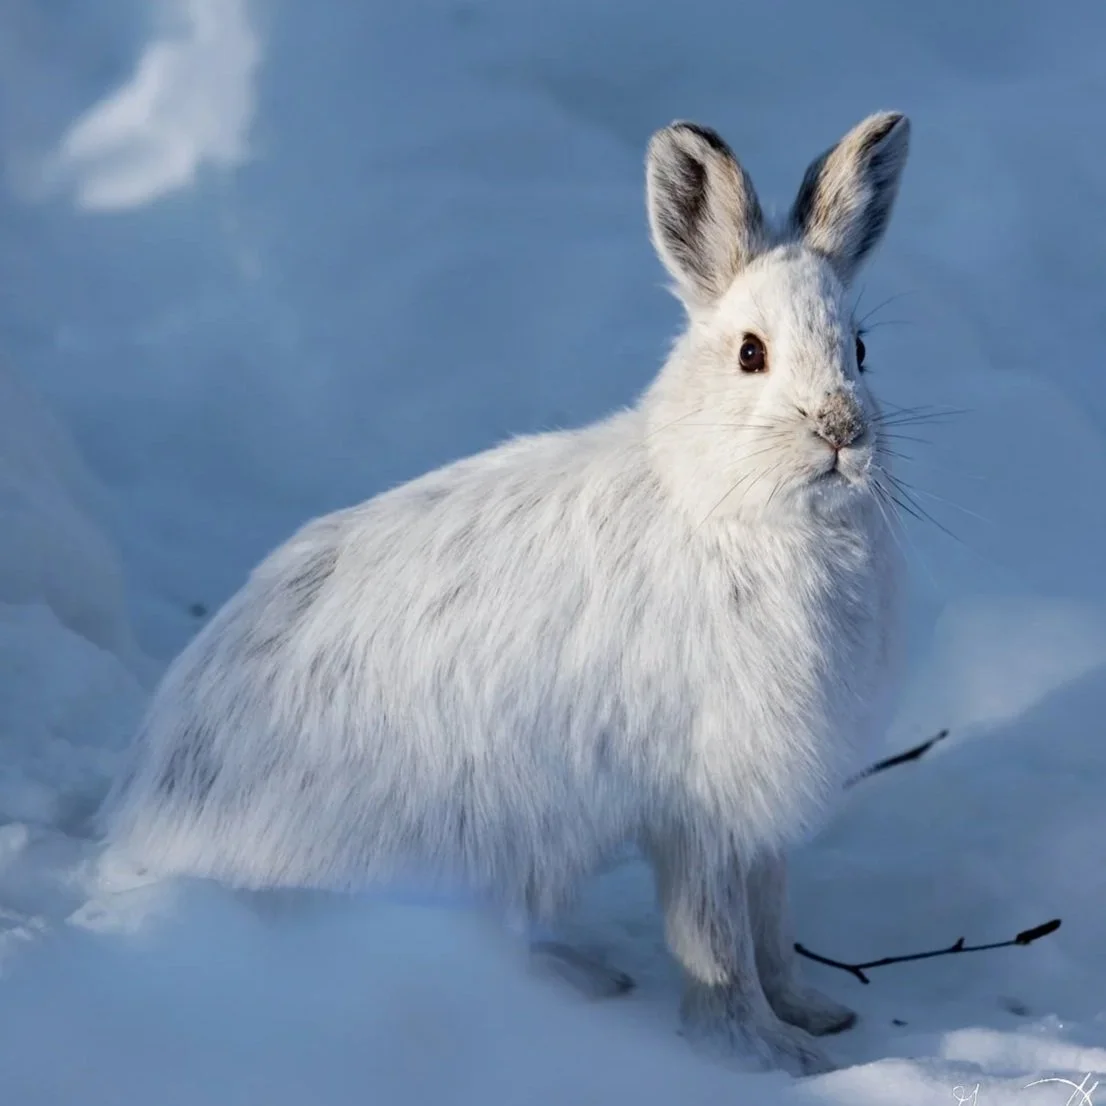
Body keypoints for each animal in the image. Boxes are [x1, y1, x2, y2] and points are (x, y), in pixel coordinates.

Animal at [100, 111, 911, 1076]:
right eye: (751, 354)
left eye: (861, 349)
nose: (843, 431)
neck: (727, 503)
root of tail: (143, 839)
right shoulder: (702, 810)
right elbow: (716, 943)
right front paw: (768, 1056)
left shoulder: (762, 828)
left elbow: (773, 925)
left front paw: (816, 1015)